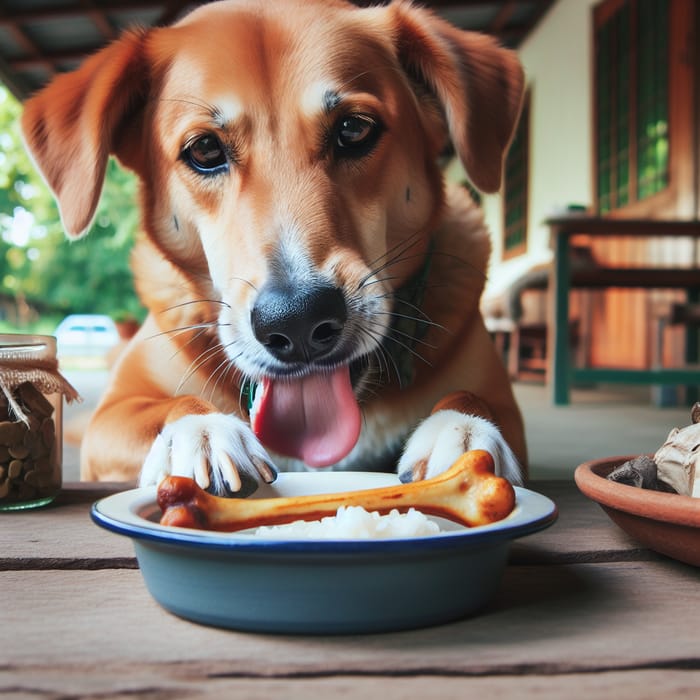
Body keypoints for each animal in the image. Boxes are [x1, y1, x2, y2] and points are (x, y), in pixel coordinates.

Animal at [20, 0, 524, 494]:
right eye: (204, 150)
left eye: (354, 129)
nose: (298, 320)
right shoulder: (113, 414)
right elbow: (168, 406)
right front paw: (203, 430)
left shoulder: (504, 403)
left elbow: (475, 398)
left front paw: (461, 430)